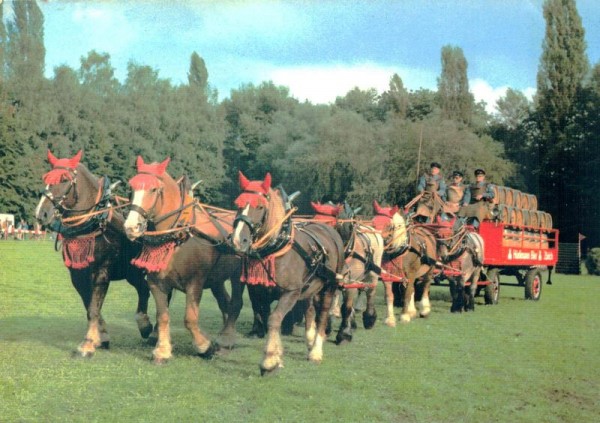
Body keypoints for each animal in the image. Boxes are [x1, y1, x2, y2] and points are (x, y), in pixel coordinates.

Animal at [35, 152, 152, 358]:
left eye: (64, 179)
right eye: (45, 178)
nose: (41, 213)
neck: (93, 222)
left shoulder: (102, 272)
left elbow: (93, 308)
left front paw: (88, 344)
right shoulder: (77, 274)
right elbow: (90, 305)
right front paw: (101, 336)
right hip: (131, 272)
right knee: (144, 289)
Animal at [123, 157, 243, 362]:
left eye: (153, 189)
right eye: (131, 187)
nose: (131, 227)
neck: (179, 233)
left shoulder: (195, 283)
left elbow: (190, 318)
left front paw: (204, 346)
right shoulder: (156, 283)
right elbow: (163, 316)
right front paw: (162, 350)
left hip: (238, 276)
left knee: (235, 303)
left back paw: (226, 339)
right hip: (217, 280)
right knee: (225, 302)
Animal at [232, 171, 344, 376]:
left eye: (260, 206)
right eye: (237, 204)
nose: (237, 240)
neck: (276, 248)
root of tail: (329, 230)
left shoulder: (291, 293)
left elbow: (275, 319)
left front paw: (269, 361)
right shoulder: (260, 293)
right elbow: (267, 318)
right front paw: (276, 356)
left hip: (329, 286)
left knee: (323, 313)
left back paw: (316, 351)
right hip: (308, 288)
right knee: (309, 309)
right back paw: (310, 339)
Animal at [312, 202, 382, 344]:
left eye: (329, 226)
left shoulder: (350, 283)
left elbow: (346, 308)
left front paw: (344, 333)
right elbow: (320, 304)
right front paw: (324, 327)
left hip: (372, 274)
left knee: (370, 292)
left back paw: (369, 318)